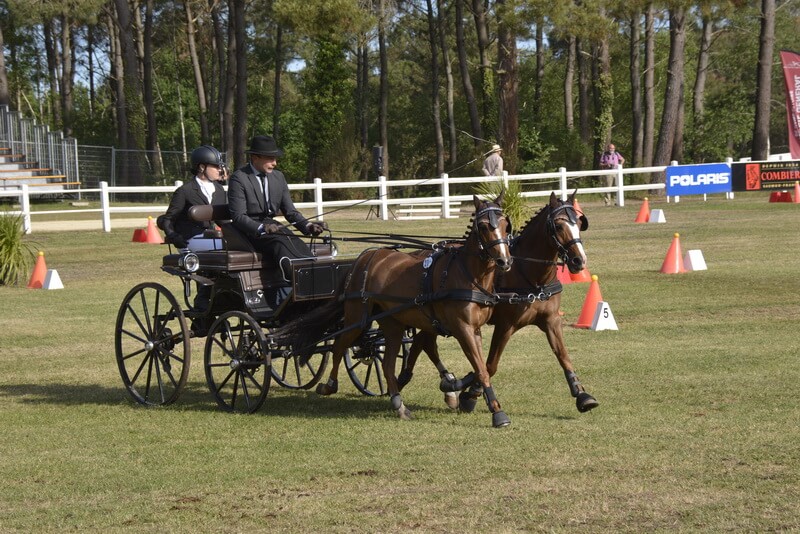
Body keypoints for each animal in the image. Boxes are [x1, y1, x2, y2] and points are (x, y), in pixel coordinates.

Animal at [275, 194, 515, 427]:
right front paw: (497, 414)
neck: (467, 275)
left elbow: (484, 367)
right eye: (483, 226)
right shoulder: (462, 329)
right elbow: (481, 369)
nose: (504, 260)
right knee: (339, 345)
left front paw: (460, 390)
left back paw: (399, 403)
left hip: (392, 324)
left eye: (506, 224)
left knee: (387, 363)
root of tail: (362, 259)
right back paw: (329, 385)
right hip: (357, 317)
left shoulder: (475, 330)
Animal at [400, 192, 599, 415]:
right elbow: (490, 365)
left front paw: (582, 395)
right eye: (558, 225)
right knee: (424, 342)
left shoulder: (551, 321)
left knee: (422, 342)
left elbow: (563, 355)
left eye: (580, 223)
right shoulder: (505, 325)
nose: (579, 261)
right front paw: (470, 394)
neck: (529, 274)